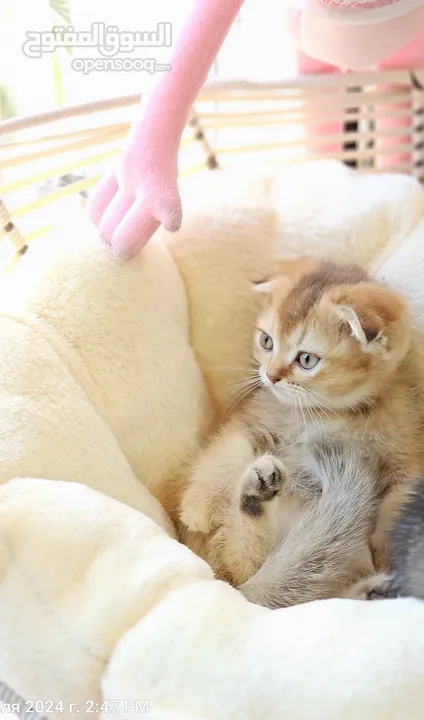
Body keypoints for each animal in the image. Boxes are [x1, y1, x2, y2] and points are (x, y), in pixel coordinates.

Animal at [178, 258, 424, 608]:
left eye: (306, 359)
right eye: (266, 341)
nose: (270, 376)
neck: (335, 413)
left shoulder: (407, 459)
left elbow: (397, 503)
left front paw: (389, 555)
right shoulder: (252, 421)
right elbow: (228, 452)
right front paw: (198, 508)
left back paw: (373, 591)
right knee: (239, 570)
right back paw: (256, 494)